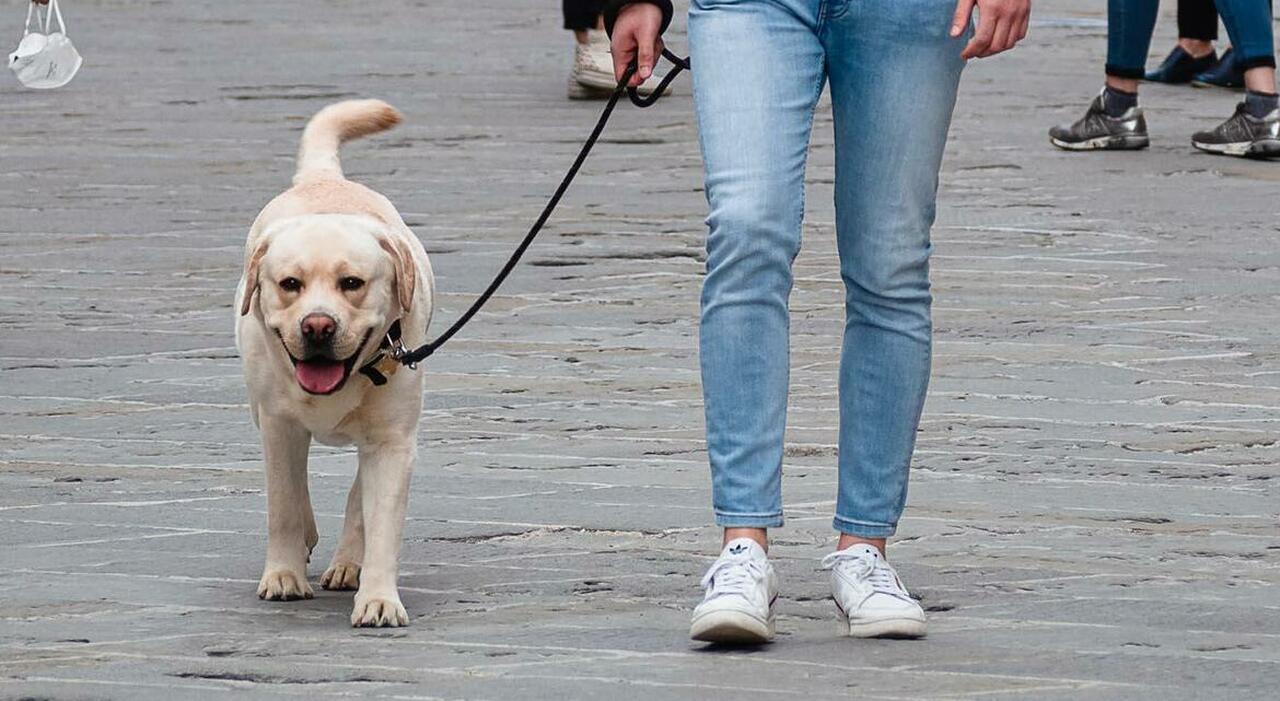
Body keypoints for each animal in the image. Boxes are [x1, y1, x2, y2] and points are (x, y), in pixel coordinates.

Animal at [231, 97, 430, 624]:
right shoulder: (278, 425)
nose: (317, 326)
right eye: (290, 284)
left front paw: (379, 598)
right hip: (259, 410)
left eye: (352, 283)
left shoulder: (393, 440)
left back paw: (346, 563)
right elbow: (282, 504)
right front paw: (283, 575)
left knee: (358, 494)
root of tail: (324, 179)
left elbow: (381, 522)